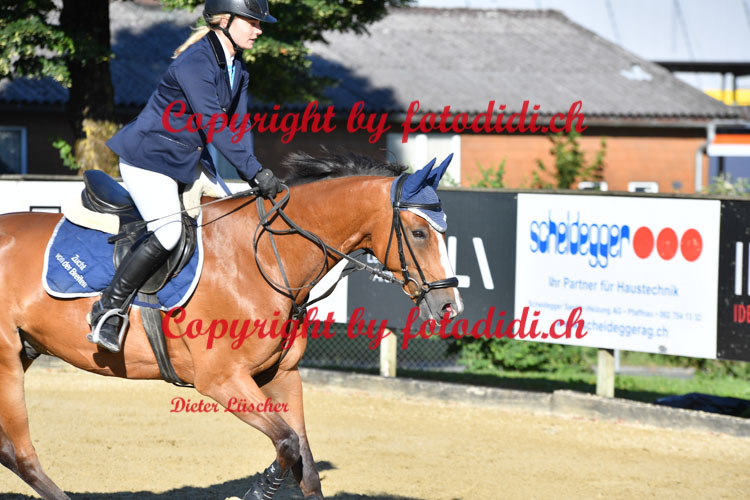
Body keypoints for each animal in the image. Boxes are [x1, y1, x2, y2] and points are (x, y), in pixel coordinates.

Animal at [0, 151, 463, 499]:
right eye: (419, 233)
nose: (449, 306)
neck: (269, 256)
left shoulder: (282, 375)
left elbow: (305, 463)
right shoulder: (222, 380)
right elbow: (287, 443)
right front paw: (255, 492)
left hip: (25, 350)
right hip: (7, 361)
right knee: (19, 451)